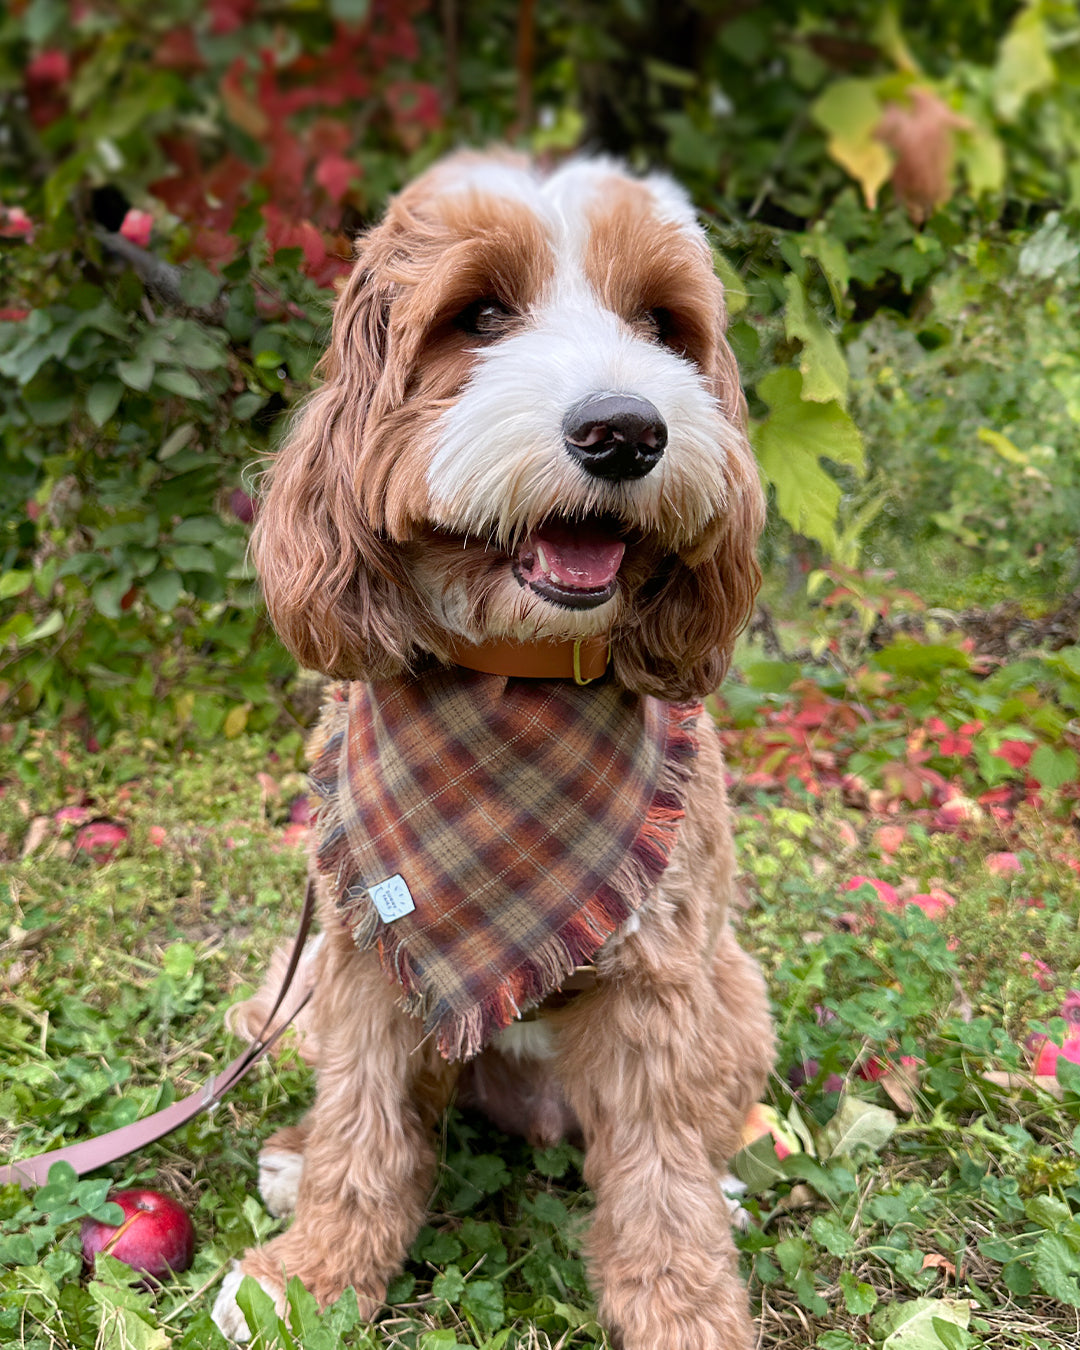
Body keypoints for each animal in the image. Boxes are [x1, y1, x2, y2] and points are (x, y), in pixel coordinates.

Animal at [213, 150, 777, 1350]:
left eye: (662, 324)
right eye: (477, 315)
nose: (626, 430)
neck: (520, 671)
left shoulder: (658, 984)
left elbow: (660, 1185)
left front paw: (688, 1315)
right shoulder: (365, 958)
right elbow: (363, 1133)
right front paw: (313, 1277)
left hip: (737, 994)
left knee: (698, 1135)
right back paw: (290, 1161)